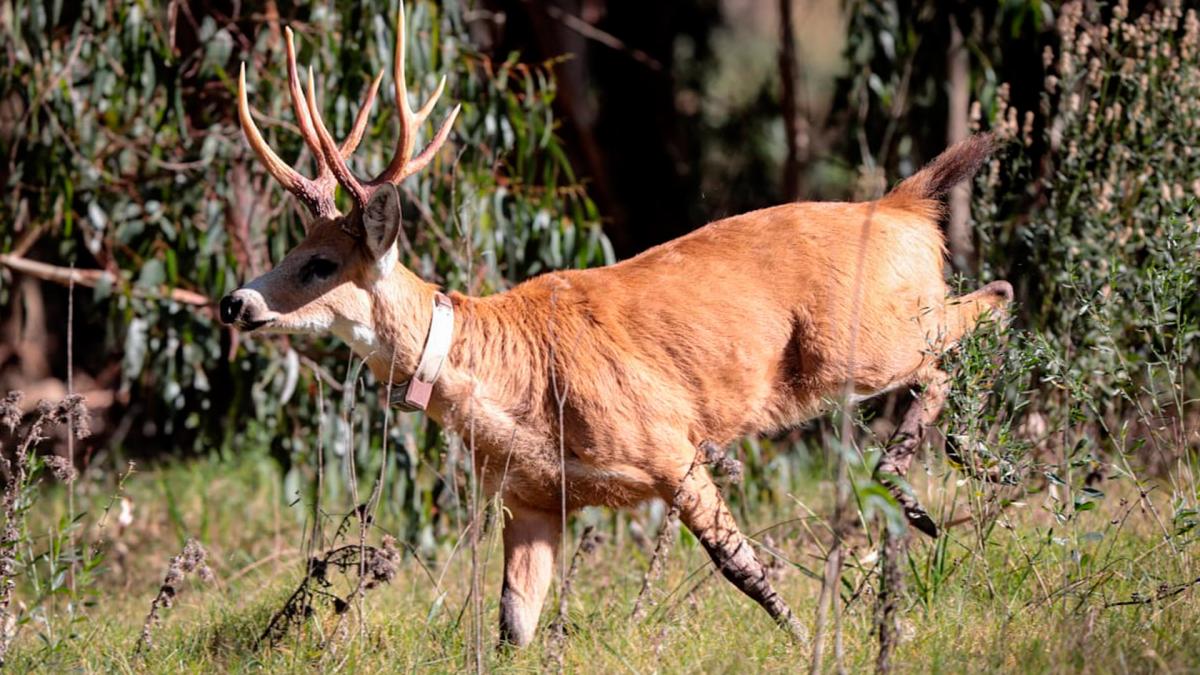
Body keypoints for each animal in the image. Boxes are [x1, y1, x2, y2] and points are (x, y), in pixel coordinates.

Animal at [218, 3, 1012, 648]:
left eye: (320, 263)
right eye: (289, 249)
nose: (235, 304)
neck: (508, 374)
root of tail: (903, 205)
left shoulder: (670, 443)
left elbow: (741, 564)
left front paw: (806, 636)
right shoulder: (533, 496)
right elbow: (513, 623)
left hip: (860, 345)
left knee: (983, 308)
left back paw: (922, 486)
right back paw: (953, 476)